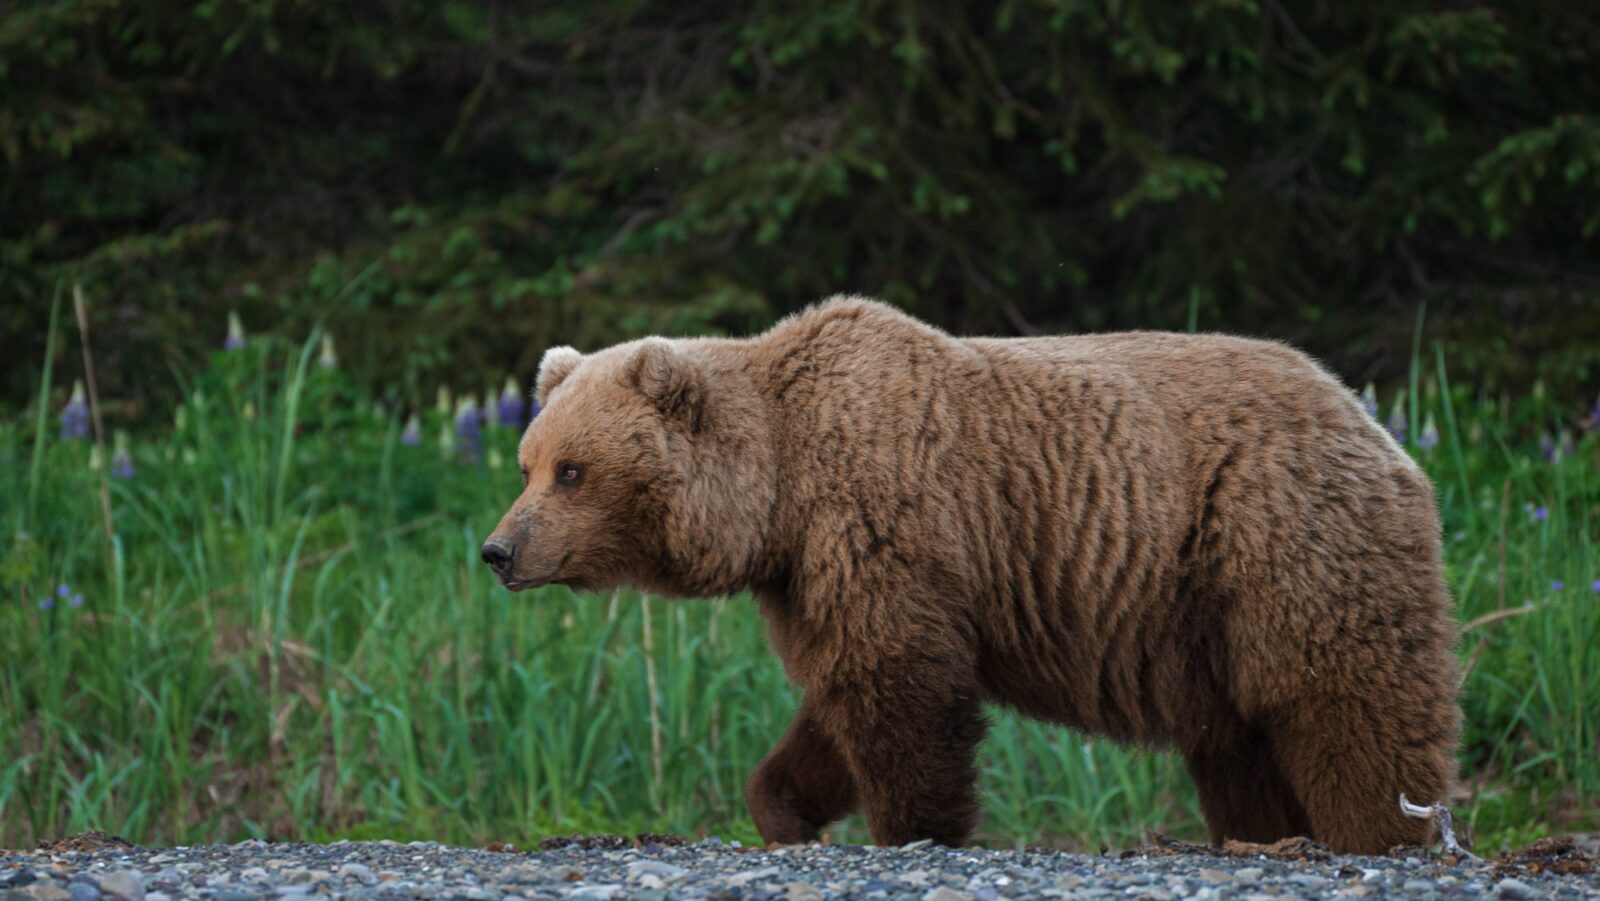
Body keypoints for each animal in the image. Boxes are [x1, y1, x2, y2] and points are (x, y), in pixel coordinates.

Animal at [476, 296, 1465, 851]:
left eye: (573, 470)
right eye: (527, 462)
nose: (498, 549)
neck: (780, 490)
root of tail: (1373, 425)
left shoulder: (884, 521)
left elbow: (902, 693)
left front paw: (915, 828)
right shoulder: (812, 574)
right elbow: (841, 697)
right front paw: (785, 807)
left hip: (1278, 537)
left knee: (1343, 692)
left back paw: (1378, 832)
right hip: (1211, 616)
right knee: (1244, 740)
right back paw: (1267, 835)